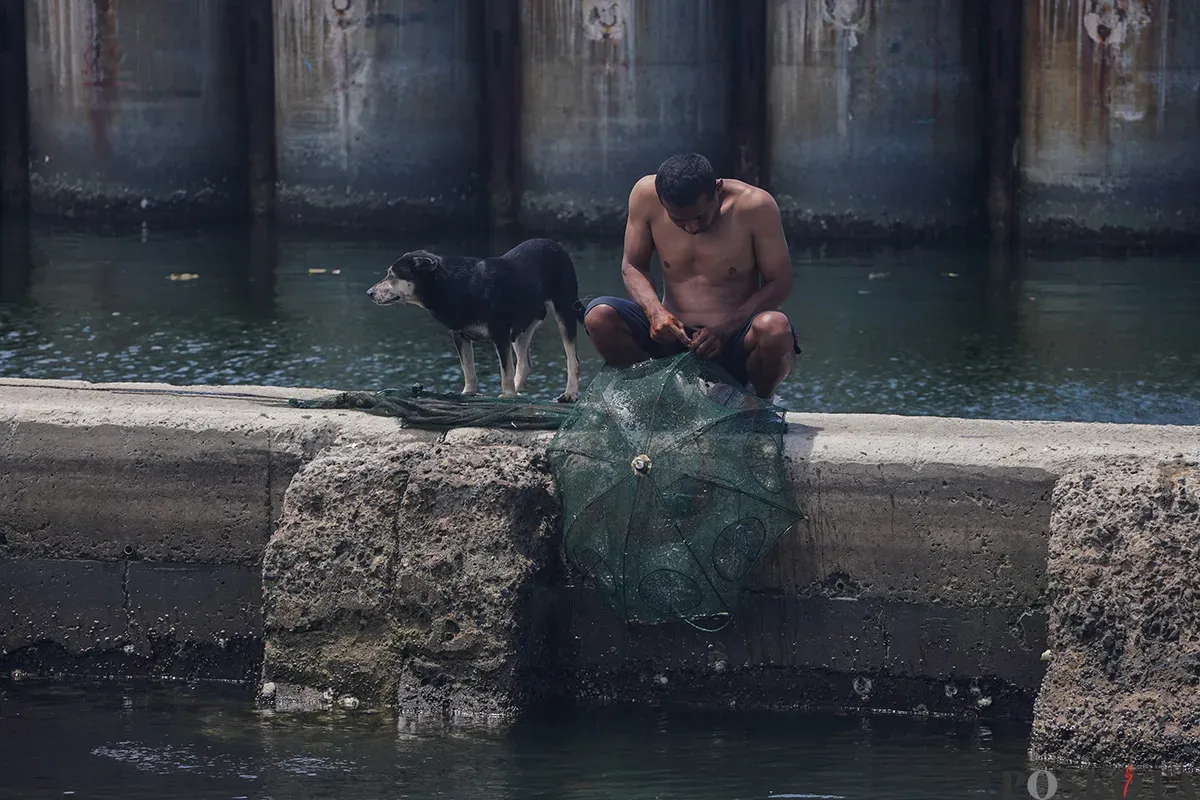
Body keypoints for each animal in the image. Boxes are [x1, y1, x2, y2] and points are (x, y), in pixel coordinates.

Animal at [369, 236, 585, 400]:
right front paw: (468, 393)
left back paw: (569, 393)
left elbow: (505, 370)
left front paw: (507, 395)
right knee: (524, 364)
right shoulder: (460, 335)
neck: (452, 284)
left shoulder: (500, 333)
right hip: (522, 328)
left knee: (572, 359)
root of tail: (556, 246)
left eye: (393, 275)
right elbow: (469, 370)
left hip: (564, 311)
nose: (369, 293)